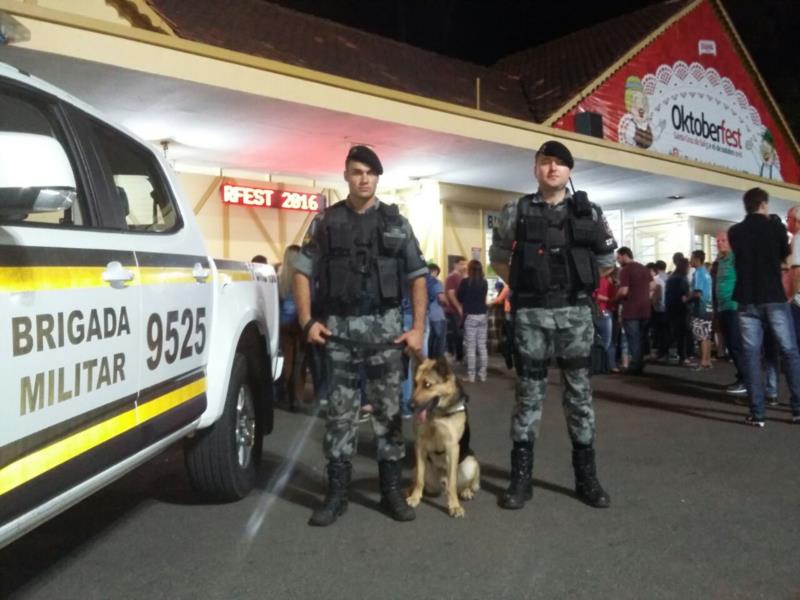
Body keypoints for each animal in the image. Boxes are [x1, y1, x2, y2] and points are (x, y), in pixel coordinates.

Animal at [410, 356, 478, 516]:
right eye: (415, 384)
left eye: (428, 385)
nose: (410, 406)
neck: (437, 414)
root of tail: (441, 482)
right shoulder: (420, 445)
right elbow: (420, 479)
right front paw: (415, 497)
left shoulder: (452, 448)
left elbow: (452, 484)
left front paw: (454, 506)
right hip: (418, 467)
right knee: (419, 479)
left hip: (470, 462)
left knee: (461, 485)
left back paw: (465, 491)